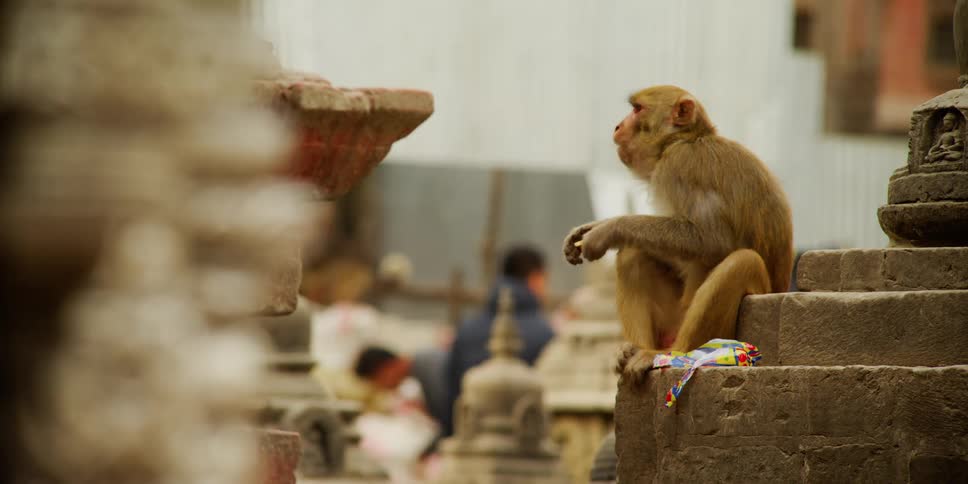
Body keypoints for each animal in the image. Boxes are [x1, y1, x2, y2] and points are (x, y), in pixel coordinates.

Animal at [563, 85, 793, 381]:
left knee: (741, 262)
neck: (685, 140)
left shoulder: (680, 165)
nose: (617, 126)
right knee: (634, 253)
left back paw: (674, 354)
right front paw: (588, 228)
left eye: (637, 109)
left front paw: (609, 229)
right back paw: (636, 349)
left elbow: (712, 240)